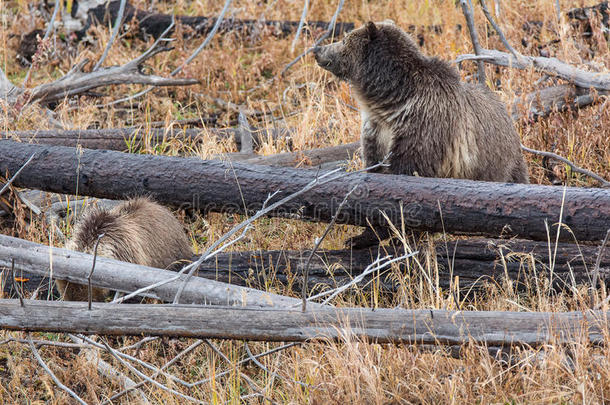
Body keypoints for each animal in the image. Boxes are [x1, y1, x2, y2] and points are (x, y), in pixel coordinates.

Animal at [314, 22, 528, 248]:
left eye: (344, 39)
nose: (317, 50)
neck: (390, 103)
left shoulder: (422, 126)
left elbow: (408, 176)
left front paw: (402, 236)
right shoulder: (376, 131)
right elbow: (375, 172)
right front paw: (361, 237)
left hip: (497, 162)